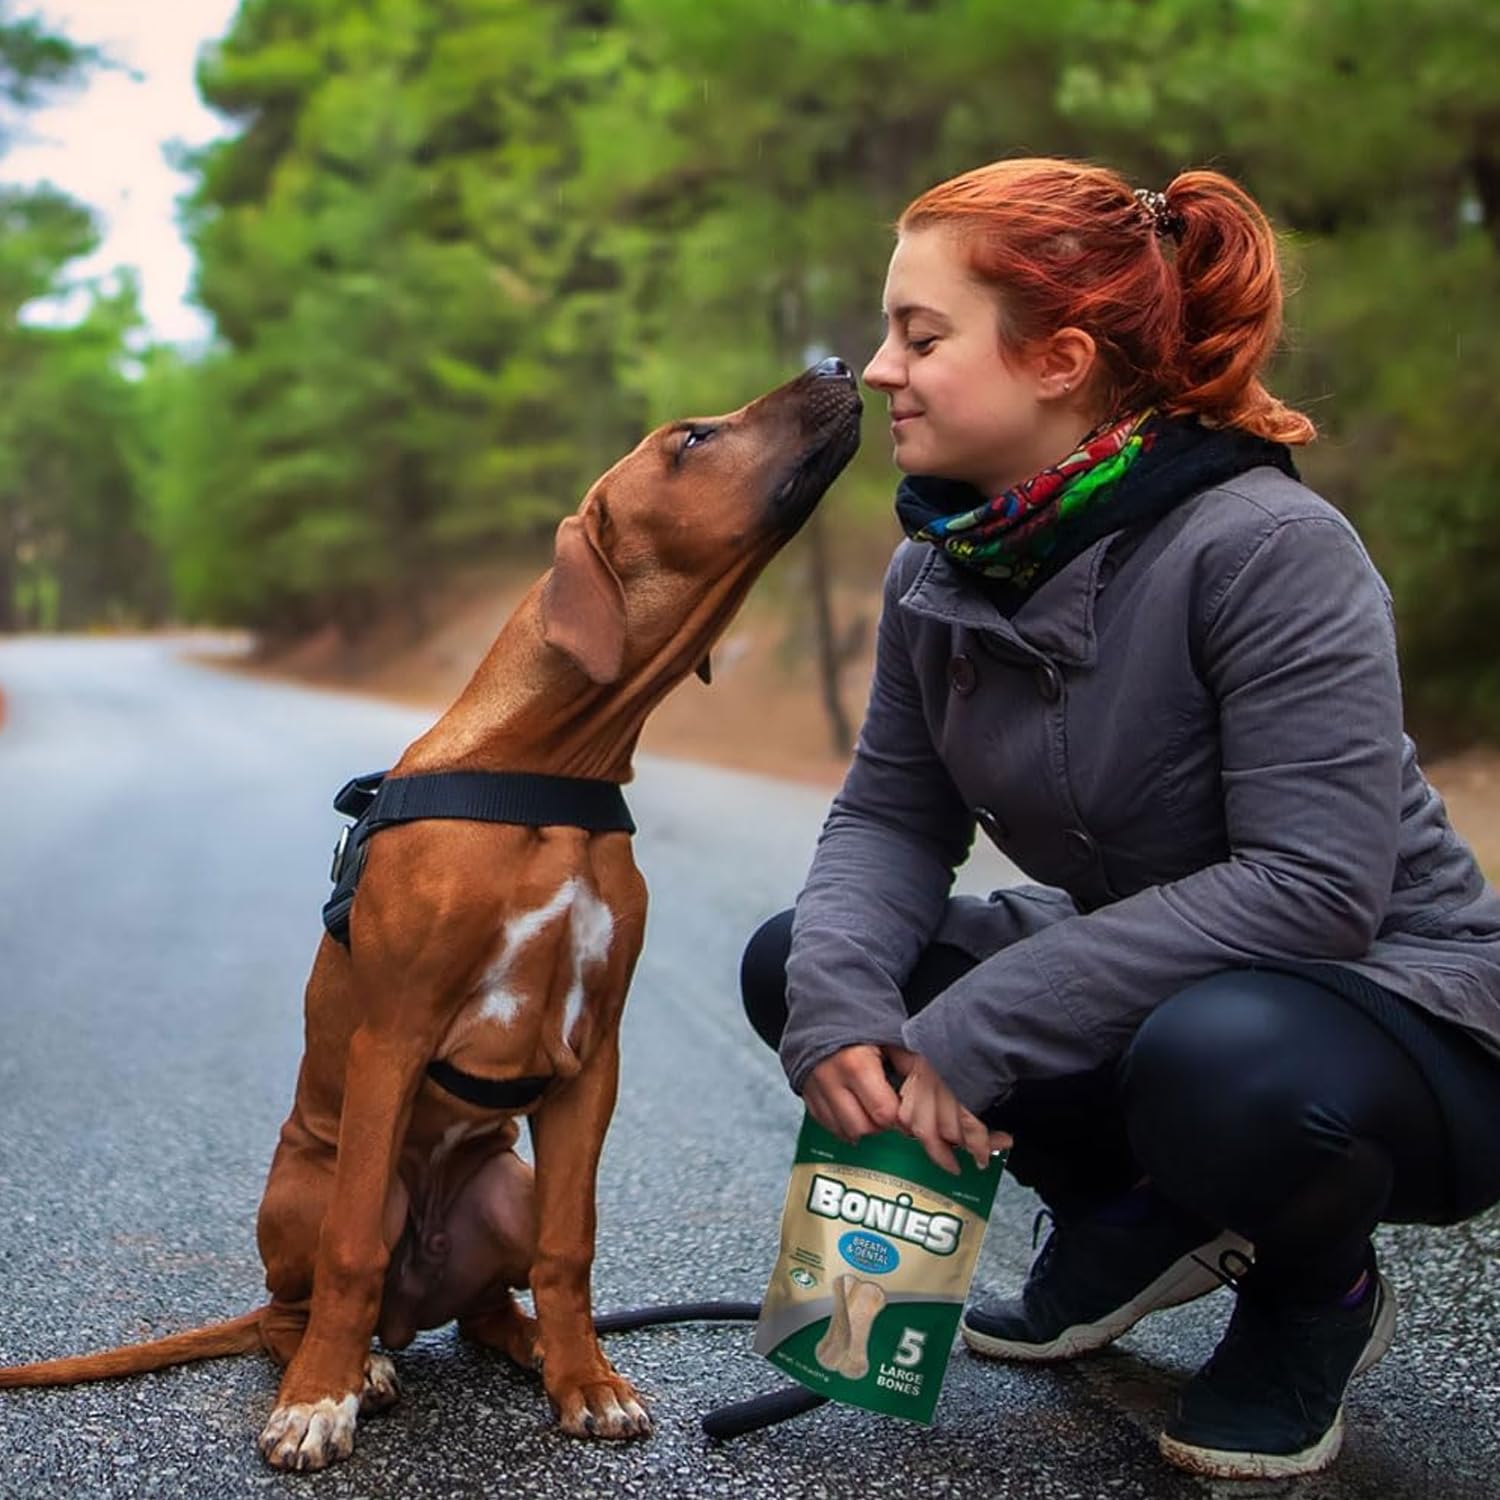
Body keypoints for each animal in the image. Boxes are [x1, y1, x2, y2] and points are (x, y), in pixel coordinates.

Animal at [0, 360, 864, 1464]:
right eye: (693, 440)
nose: (838, 365)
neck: (547, 771)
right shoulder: (393, 1039)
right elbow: (352, 1252)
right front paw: (317, 1403)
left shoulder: (596, 1056)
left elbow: (572, 1247)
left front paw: (586, 1380)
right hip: (313, 1187)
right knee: (296, 1306)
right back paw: (351, 1365)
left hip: (506, 1184)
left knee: (492, 1299)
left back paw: (531, 1345)